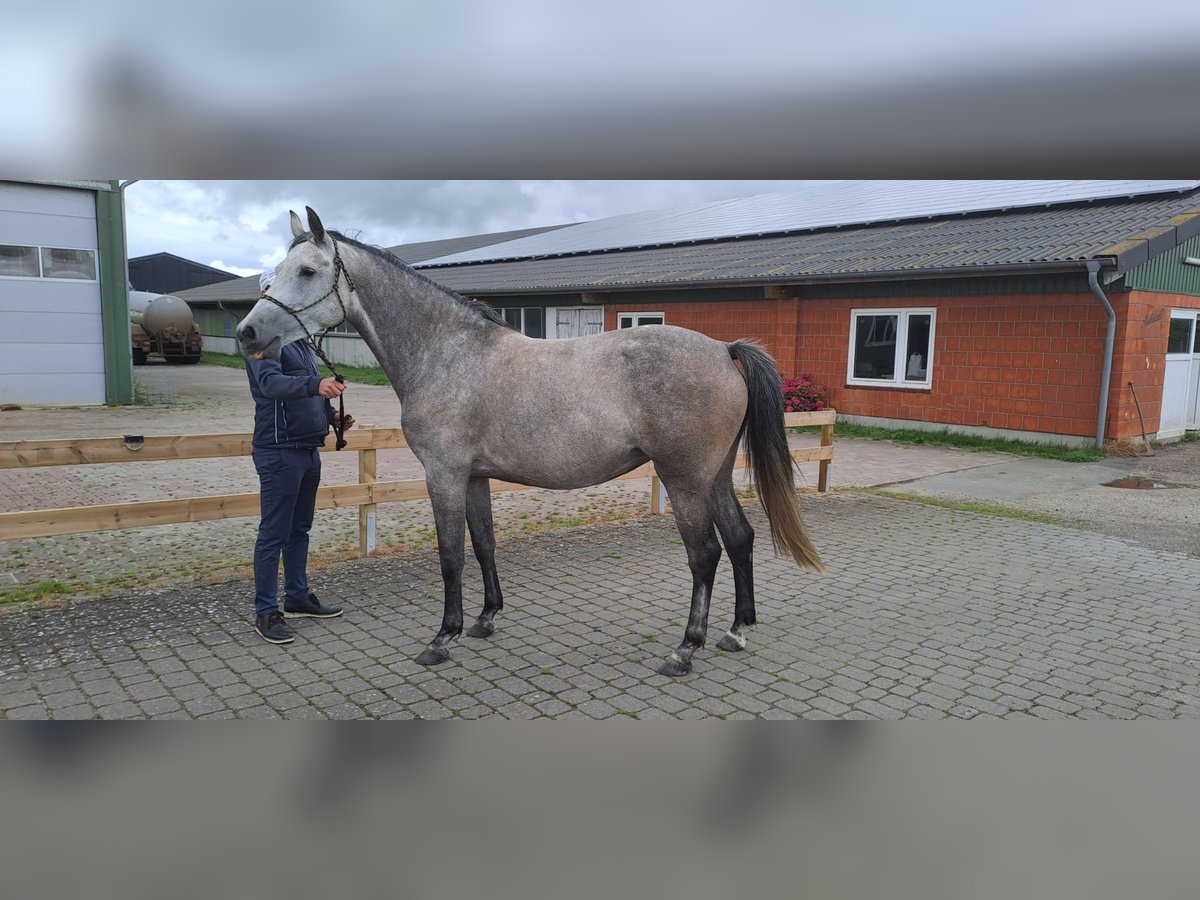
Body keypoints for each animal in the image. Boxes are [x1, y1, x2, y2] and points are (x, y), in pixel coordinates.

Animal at [241, 210, 825, 676]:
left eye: (307, 271)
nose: (248, 334)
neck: (446, 353)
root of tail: (723, 349)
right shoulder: (474, 477)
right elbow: (483, 544)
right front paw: (484, 619)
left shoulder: (443, 475)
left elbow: (450, 555)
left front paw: (442, 638)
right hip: (715, 476)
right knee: (741, 539)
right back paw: (735, 631)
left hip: (684, 479)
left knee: (705, 555)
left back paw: (685, 649)